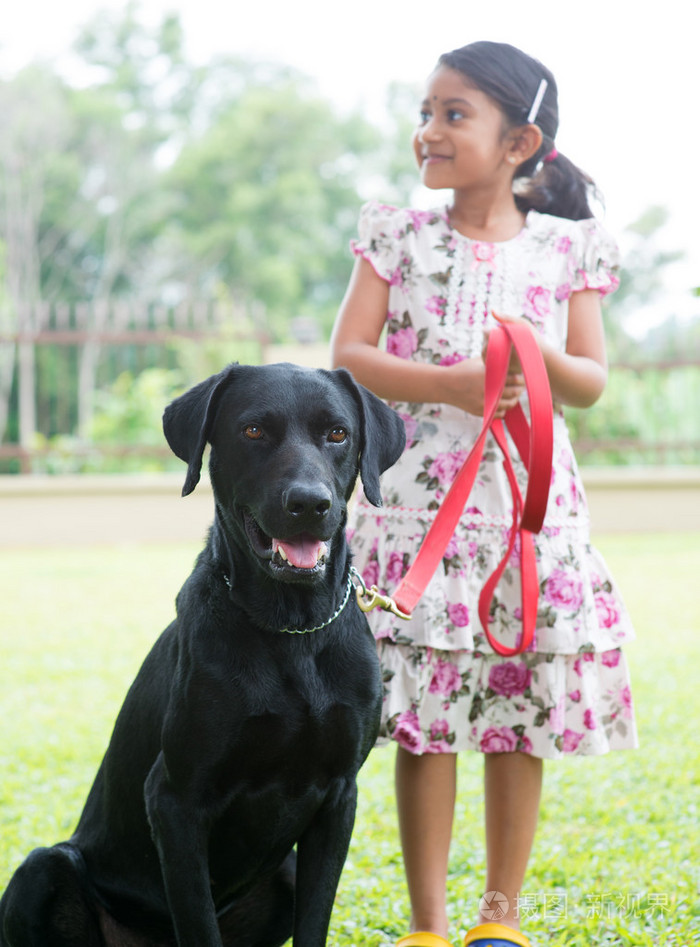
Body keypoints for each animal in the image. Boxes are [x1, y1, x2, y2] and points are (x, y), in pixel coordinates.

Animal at [1, 364, 404, 947]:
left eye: (337, 434)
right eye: (253, 431)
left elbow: (315, 920)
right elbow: (197, 920)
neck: (292, 627)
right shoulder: (176, 799)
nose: (309, 504)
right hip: (44, 866)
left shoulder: (338, 797)